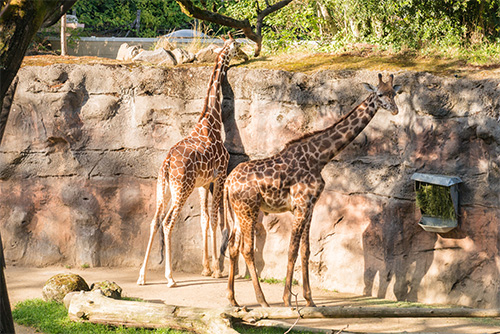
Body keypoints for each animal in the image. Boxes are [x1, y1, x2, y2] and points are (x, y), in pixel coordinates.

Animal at [136, 33, 239, 288]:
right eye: (236, 46)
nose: (244, 55)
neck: (212, 122)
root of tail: (166, 164)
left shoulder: (204, 183)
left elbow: (204, 219)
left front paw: (206, 267)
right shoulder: (220, 175)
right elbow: (215, 219)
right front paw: (217, 270)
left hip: (163, 188)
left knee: (154, 221)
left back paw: (142, 276)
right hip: (181, 189)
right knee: (168, 222)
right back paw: (170, 277)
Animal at [223, 73, 402, 308]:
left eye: (394, 93)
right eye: (380, 94)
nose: (395, 110)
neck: (320, 158)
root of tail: (227, 183)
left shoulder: (309, 207)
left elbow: (305, 251)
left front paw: (309, 300)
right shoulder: (301, 205)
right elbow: (291, 250)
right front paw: (287, 299)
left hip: (236, 213)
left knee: (233, 247)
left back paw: (233, 299)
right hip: (248, 211)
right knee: (246, 249)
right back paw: (262, 301)